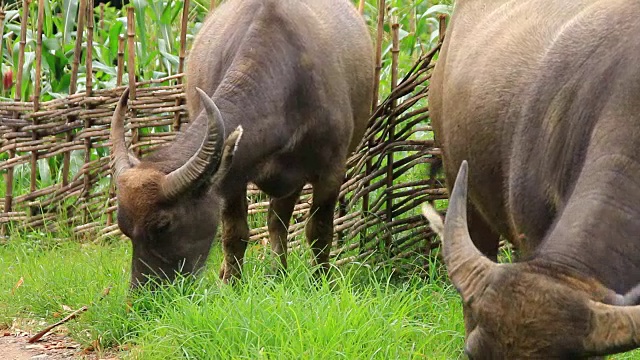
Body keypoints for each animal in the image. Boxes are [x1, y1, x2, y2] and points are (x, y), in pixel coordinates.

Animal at [107, 0, 372, 288]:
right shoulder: (232, 177)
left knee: (279, 221)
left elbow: (319, 232)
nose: (145, 292)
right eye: (124, 228)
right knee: (275, 221)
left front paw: (322, 281)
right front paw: (232, 283)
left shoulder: (331, 172)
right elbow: (235, 234)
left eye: (163, 225)